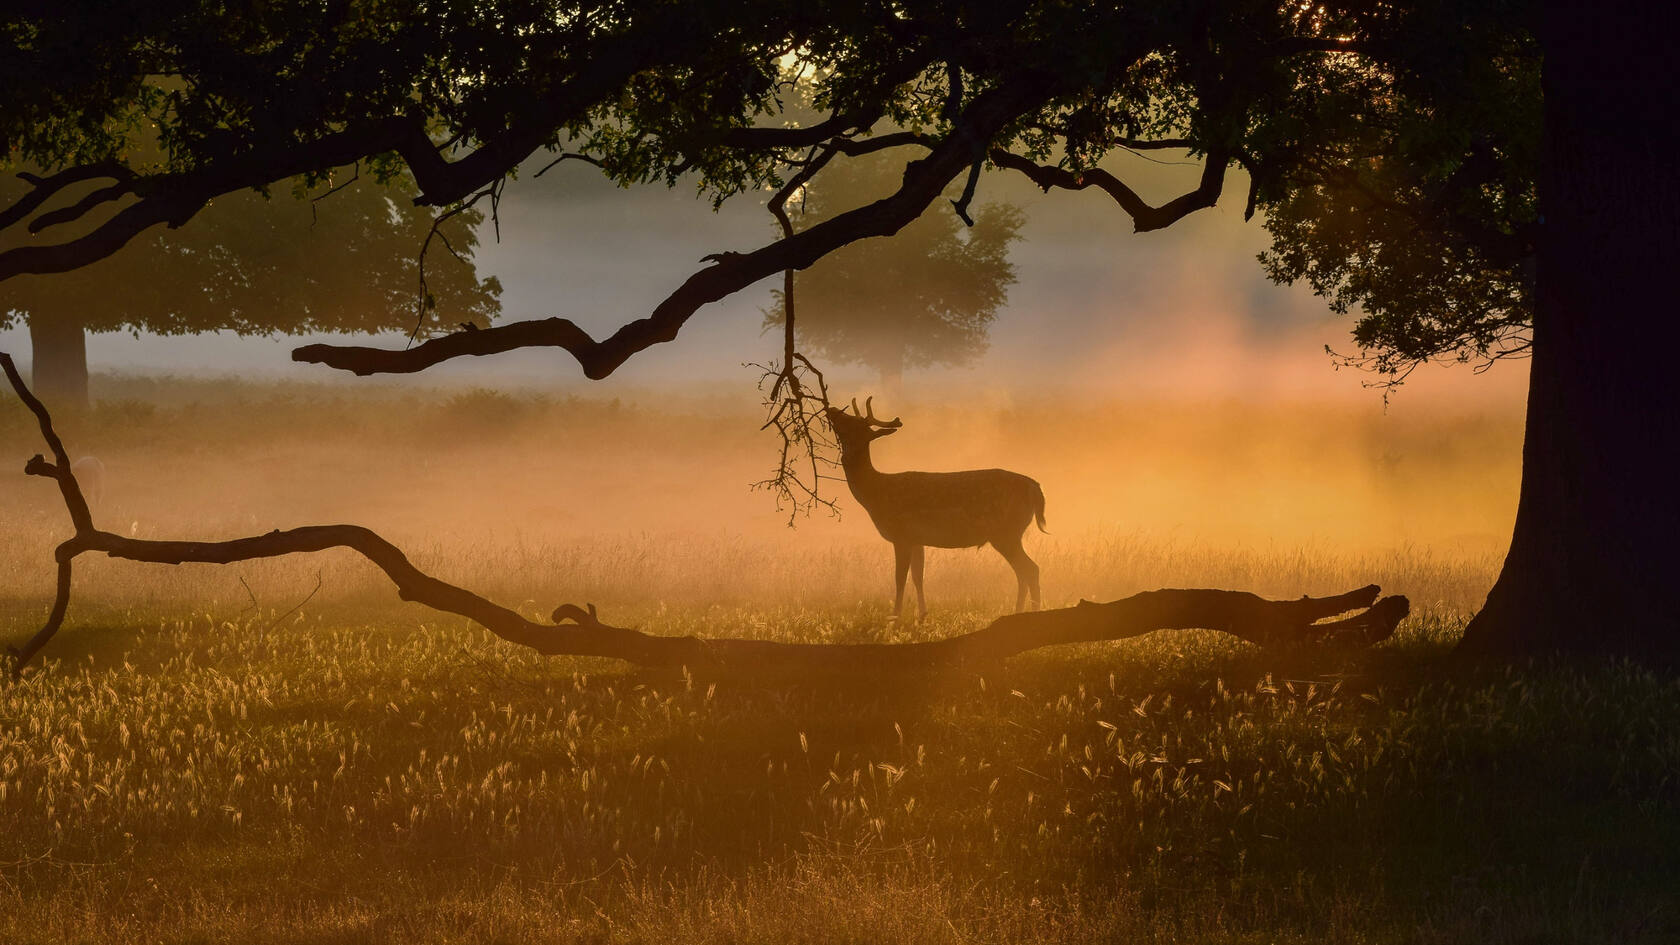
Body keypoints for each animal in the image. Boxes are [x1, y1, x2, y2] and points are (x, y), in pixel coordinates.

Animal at [823, 396, 1041, 618]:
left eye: (853, 423)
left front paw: (895, 617)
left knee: (1031, 570)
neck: (877, 494)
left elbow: (899, 578)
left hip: (1006, 532)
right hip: (1009, 534)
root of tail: (1035, 488)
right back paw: (1018, 612)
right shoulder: (917, 539)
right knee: (1023, 572)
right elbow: (918, 576)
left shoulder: (901, 535)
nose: (832, 409)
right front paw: (922, 615)